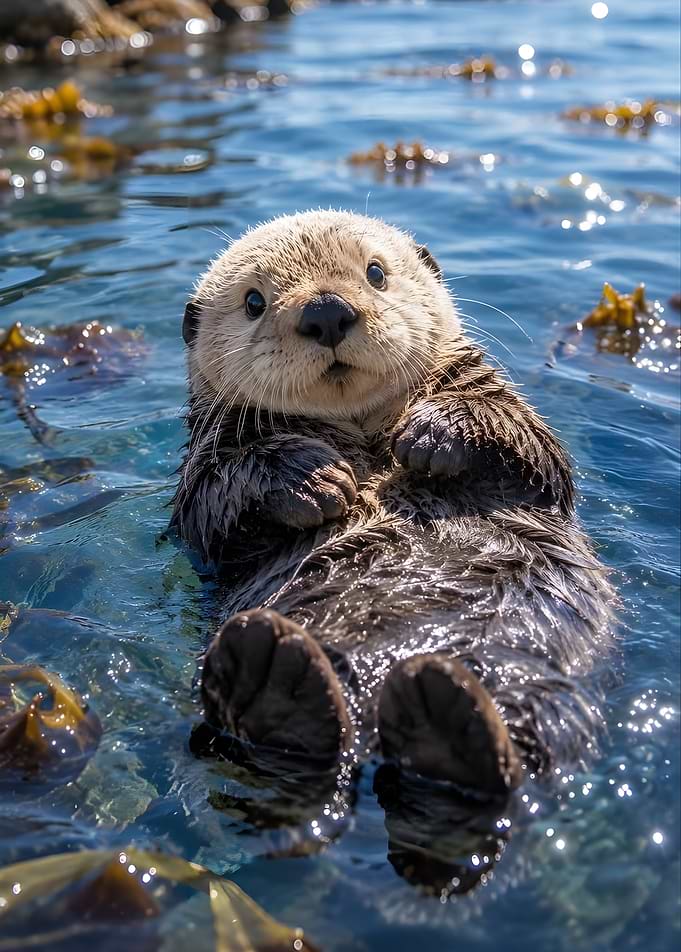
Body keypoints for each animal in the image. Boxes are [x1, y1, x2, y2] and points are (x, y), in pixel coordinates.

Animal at [171, 209, 615, 798]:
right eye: (253, 302)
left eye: (376, 272)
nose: (326, 311)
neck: (363, 436)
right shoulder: (208, 461)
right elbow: (213, 499)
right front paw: (315, 481)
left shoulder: (506, 412)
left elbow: (528, 443)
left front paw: (432, 433)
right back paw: (274, 683)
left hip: (535, 681)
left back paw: (443, 720)